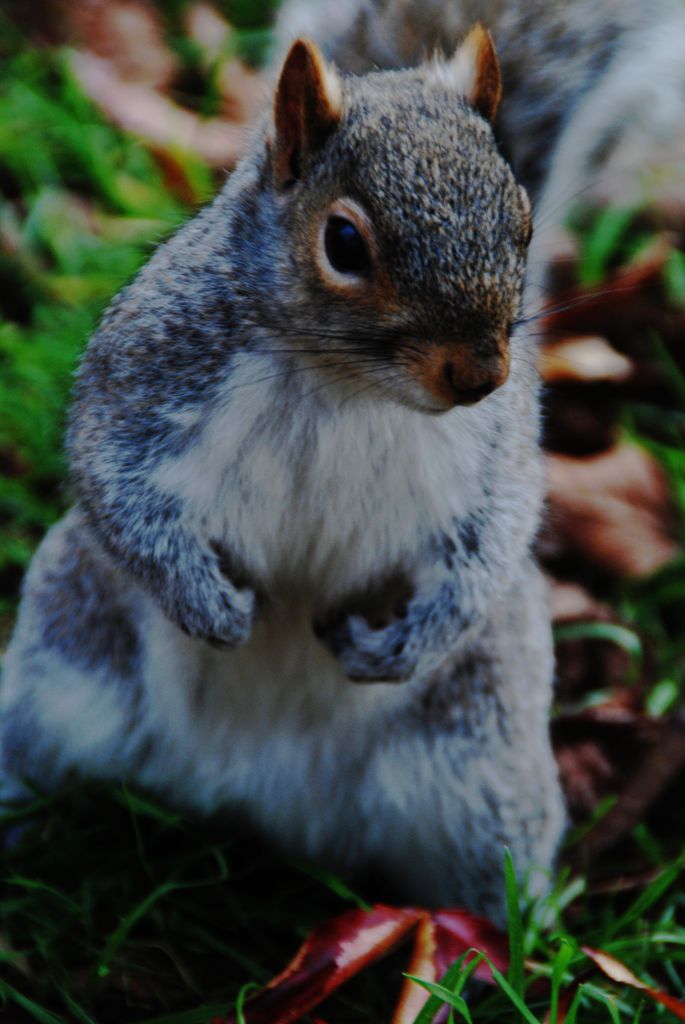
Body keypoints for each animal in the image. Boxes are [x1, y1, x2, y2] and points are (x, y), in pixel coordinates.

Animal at [2, 0, 679, 925]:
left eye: (523, 224)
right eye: (345, 243)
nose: (479, 375)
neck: (342, 384)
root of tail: (244, 794)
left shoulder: (500, 448)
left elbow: (494, 537)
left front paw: (402, 645)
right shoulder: (144, 378)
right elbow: (115, 485)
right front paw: (207, 603)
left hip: (481, 769)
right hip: (63, 663)